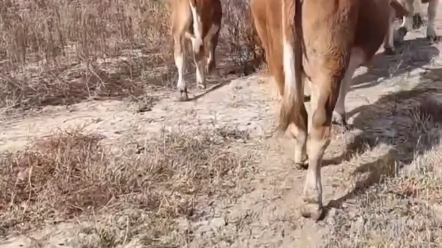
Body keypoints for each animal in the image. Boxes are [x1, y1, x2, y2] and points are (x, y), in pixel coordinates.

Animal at [250, 0, 410, 221]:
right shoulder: (354, 50)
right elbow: (347, 81)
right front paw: (340, 116)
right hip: (329, 59)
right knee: (319, 131)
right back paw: (312, 201)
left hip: (275, 50)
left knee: (298, 111)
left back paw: (300, 157)